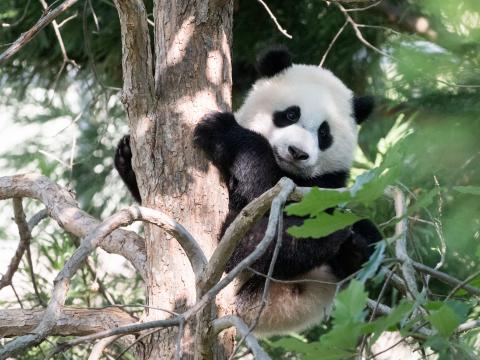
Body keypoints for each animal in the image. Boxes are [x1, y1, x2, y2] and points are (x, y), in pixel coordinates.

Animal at [114, 47, 380, 338]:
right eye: (290, 115)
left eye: (324, 133)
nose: (297, 152)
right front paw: (128, 155)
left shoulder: (326, 185)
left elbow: (265, 190)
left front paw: (222, 131)